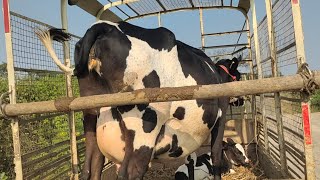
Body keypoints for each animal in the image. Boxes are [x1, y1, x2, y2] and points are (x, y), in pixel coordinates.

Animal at [36, 20, 241, 179]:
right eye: (238, 76)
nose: (240, 101)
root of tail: (102, 26)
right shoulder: (221, 118)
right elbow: (216, 154)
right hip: (144, 126)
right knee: (130, 172)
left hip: (91, 118)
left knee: (90, 169)